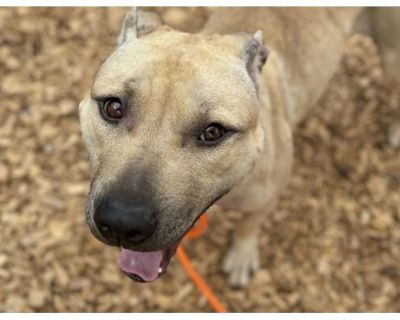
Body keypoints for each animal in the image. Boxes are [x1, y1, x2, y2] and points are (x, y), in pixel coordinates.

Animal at [79, 6, 400, 288]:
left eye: (213, 132)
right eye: (113, 107)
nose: (122, 221)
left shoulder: (266, 198)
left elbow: (248, 225)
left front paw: (241, 256)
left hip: (391, 55)